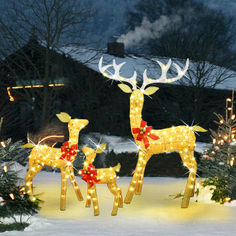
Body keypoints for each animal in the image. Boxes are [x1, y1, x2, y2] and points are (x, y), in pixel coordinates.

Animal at [98, 56, 206, 207]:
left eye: (142, 95)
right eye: (131, 94)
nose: (135, 100)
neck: (140, 132)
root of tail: (191, 129)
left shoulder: (144, 151)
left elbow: (136, 173)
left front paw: (127, 200)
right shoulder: (145, 153)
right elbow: (141, 173)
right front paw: (138, 192)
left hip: (184, 149)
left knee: (192, 167)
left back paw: (184, 202)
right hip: (190, 149)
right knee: (195, 165)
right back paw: (190, 195)